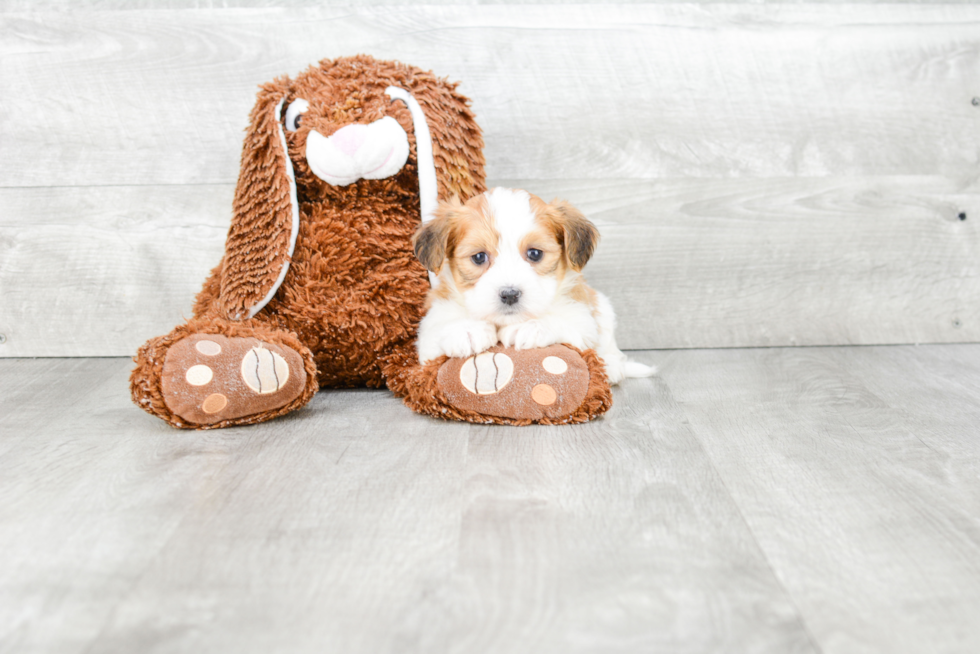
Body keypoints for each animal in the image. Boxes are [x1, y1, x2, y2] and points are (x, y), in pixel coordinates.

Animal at [410, 187, 656, 384]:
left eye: (535, 254)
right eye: (479, 257)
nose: (510, 294)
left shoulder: (582, 319)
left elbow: (568, 323)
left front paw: (531, 326)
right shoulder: (429, 336)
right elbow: (437, 329)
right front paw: (467, 330)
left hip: (603, 307)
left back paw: (612, 367)